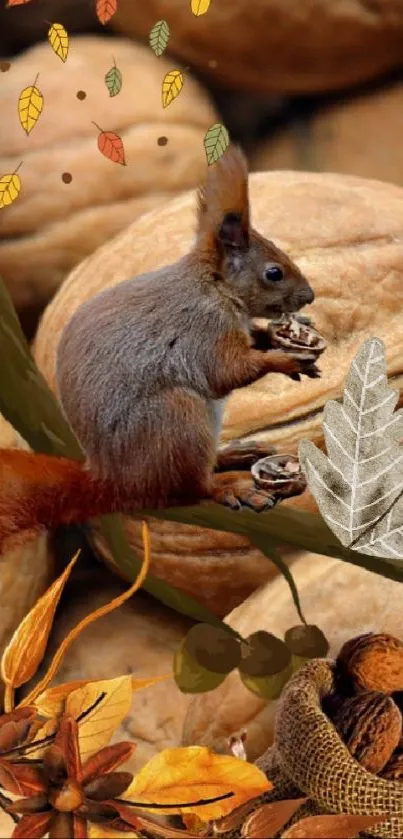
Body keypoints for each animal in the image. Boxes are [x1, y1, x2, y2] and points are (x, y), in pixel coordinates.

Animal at [0, 145, 318, 556]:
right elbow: (226, 372)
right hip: (176, 419)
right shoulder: (201, 330)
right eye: (274, 273)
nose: (309, 296)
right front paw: (282, 359)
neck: (213, 287)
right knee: (190, 490)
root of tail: (116, 485)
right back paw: (229, 488)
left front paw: (280, 337)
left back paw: (232, 455)